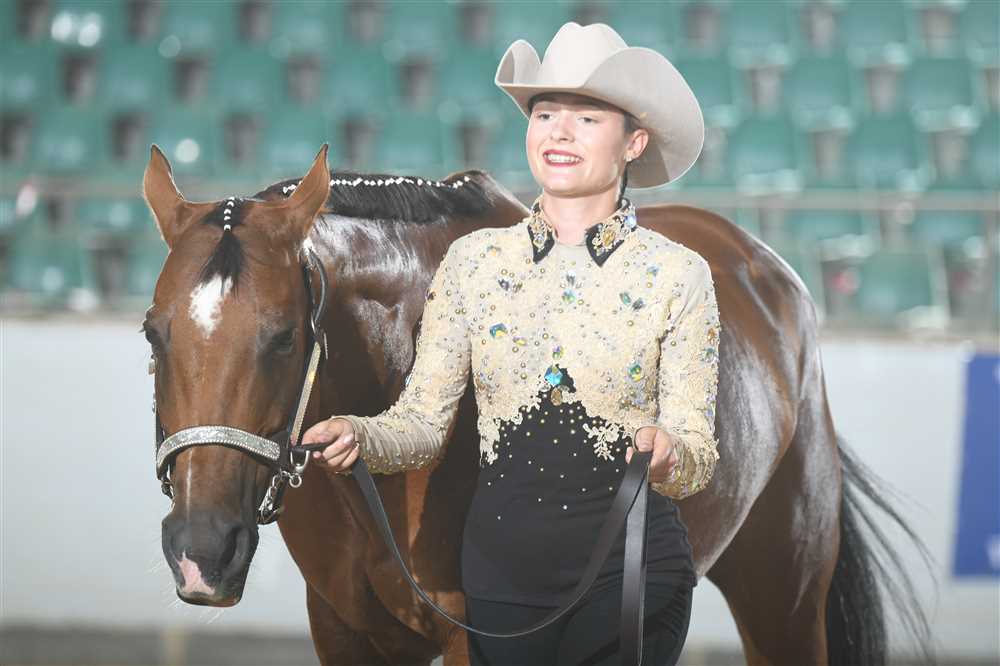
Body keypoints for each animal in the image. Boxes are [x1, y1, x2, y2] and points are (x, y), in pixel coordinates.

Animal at [145, 143, 932, 665]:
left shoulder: (477, 636)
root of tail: (771, 272)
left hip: (785, 597)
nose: (201, 552)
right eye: (154, 332)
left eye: (283, 337)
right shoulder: (345, 631)